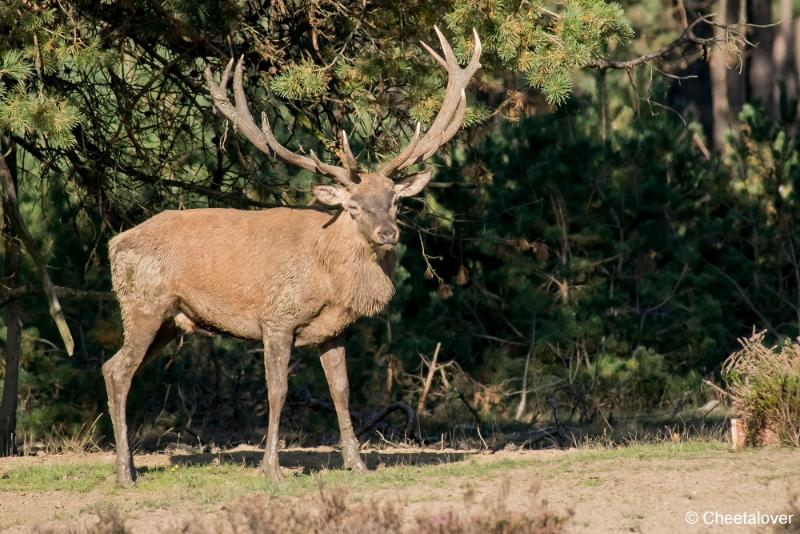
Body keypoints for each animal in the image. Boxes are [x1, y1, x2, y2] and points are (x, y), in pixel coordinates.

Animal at [102, 27, 482, 488]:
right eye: (352, 206)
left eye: (394, 200)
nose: (387, 234)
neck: (327, 275)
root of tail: (114, 243)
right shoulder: (276, 318)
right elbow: (278, 390)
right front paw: (272, 467)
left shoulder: (335, 330)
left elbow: (341, 390)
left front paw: (357, 462)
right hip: (143, 303)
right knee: (118, 370)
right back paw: (125, 473)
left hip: (171, 321)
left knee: (114, 366)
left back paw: (130, 466)